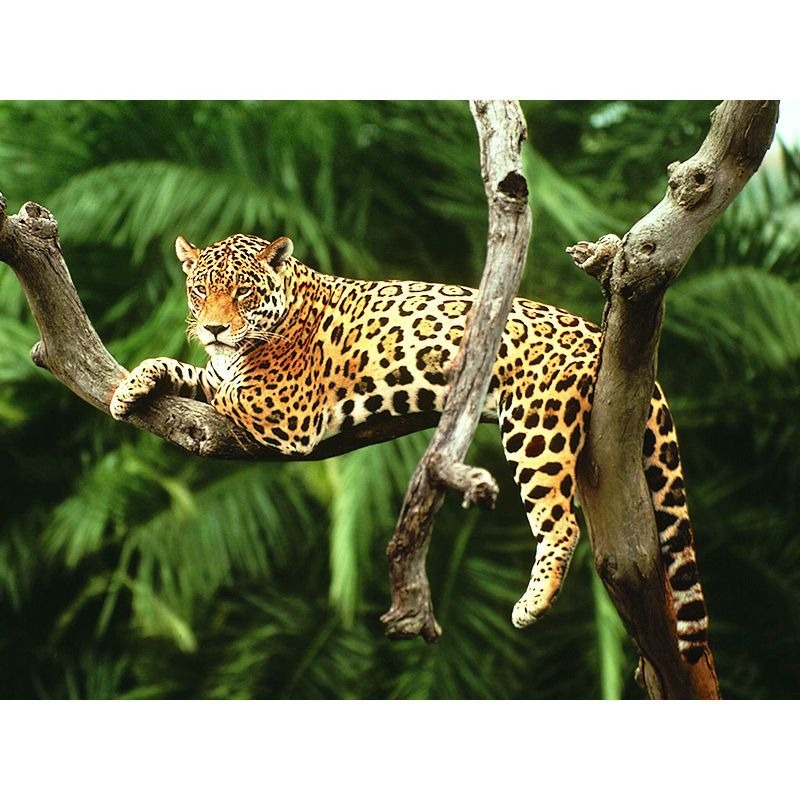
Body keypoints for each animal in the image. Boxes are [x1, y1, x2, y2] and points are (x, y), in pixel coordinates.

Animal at [110, 233, 709, 662]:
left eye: (244, 293)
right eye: (199, 290)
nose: (213, 328)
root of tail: (596, 332)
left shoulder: (284, 410)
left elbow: (225, 386)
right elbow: (192, 371)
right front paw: (131, 387)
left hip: (535, 425)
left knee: (560, 523)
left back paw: (531, 604)